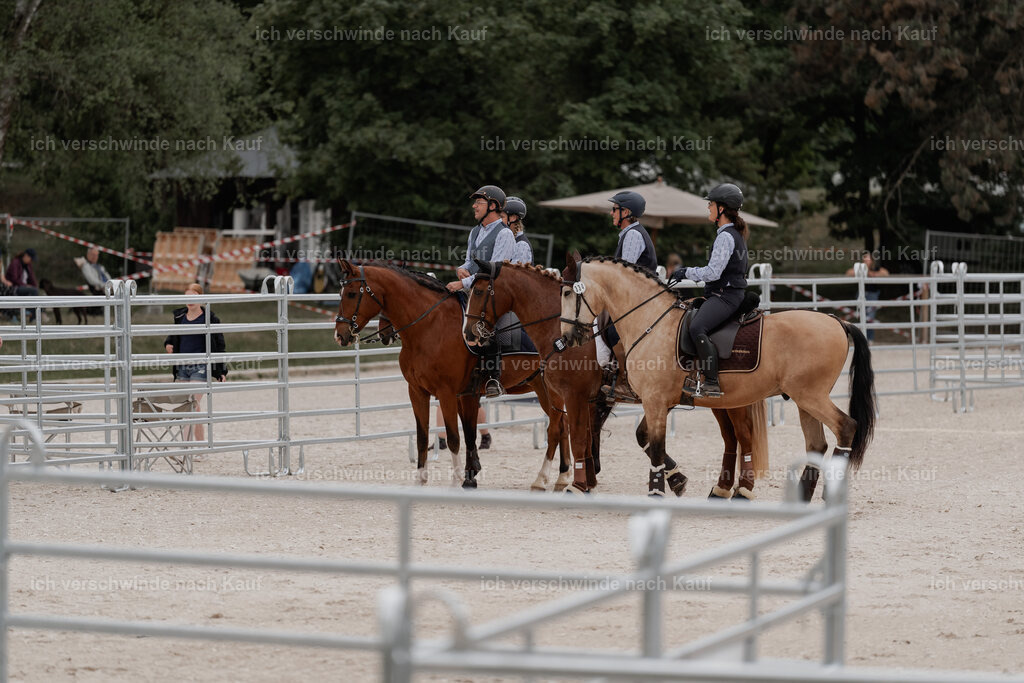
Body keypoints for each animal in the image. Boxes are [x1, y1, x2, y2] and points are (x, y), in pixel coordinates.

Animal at [334, 260, 570, 489]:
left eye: (352, 293)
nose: (340, 335)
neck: (430, 327)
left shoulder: (448, 393)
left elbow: (455, 436)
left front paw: (459, 480)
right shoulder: (419, 392)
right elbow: (427, 436)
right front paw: (424, 479)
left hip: (551, 390)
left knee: (557, 426)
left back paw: (551, 478)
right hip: (542, 388)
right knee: (562, 425)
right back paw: (563, 475)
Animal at [464, 258, 767, 497]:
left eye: (477, 291)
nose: (468, 333)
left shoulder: (575, 396)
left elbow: (575, 435)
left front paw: (573, 482)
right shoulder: (589, 399)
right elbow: (587, 437)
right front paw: (589, 480)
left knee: (742, 435)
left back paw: (740, 488)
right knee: (731, 437)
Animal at [559, 257, 875, 500]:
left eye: (566, 294)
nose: (567, 337)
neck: (651, 322)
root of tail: (837, 321)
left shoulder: (655, 400)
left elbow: (656, 447)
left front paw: (657, 492)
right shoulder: (659, 401)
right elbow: (647, 439)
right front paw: (676, 482)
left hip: (811, 397)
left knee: (846, 427)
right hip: (802, 400)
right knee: (816, 445)